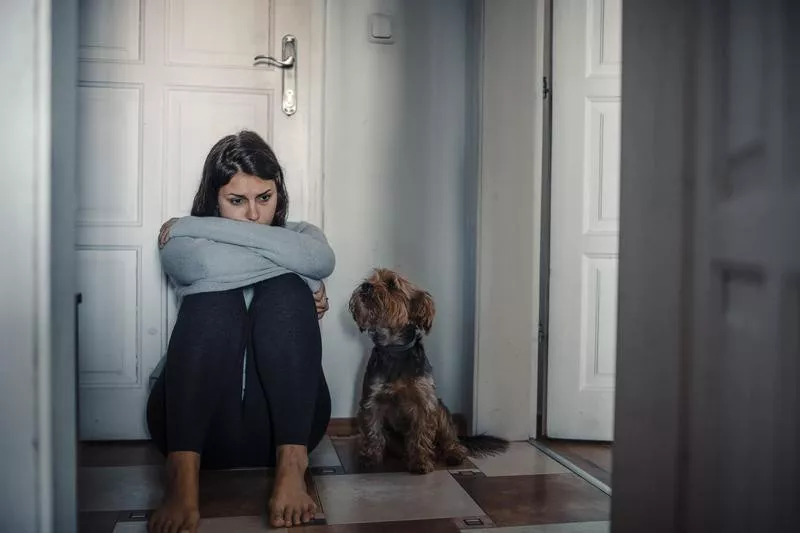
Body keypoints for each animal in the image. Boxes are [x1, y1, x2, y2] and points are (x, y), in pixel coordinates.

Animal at [348, 268, 510, 472]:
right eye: (370, 279)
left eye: (392, 284)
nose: (365, 286)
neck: (395, 349)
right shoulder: (372, 400)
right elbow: (372, 431)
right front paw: (369, 459)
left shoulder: (424, 401)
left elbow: (420, 433)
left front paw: (420, 462)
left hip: (440, 409)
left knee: (451, 439)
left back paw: (453, 454)